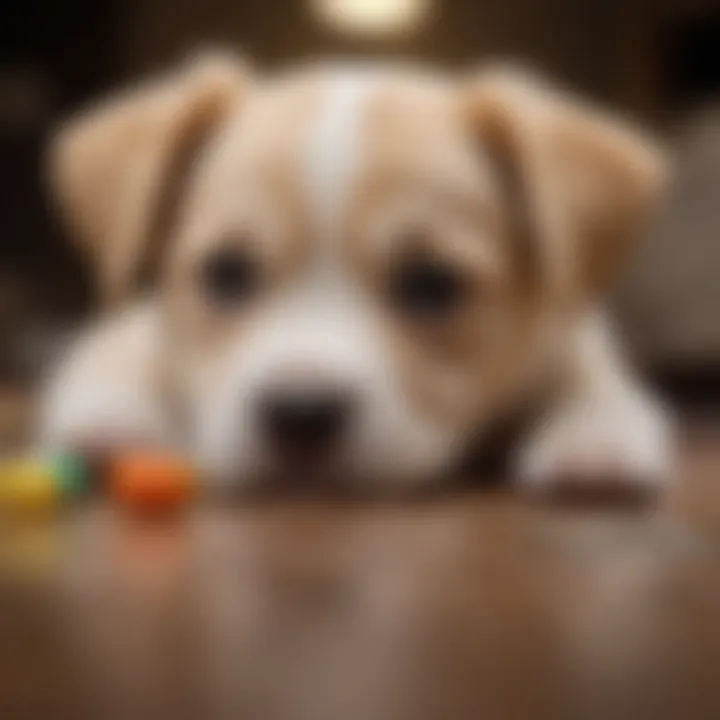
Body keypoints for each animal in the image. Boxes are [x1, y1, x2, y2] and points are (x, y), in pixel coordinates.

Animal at [40, 54, 676, 496]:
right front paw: (112, 417)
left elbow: (591, 372)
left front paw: (599, 435)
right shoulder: (140, 324)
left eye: (431, 283)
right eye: (226, 273)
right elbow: (123, 351)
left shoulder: (568, 328)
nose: (301, 414)